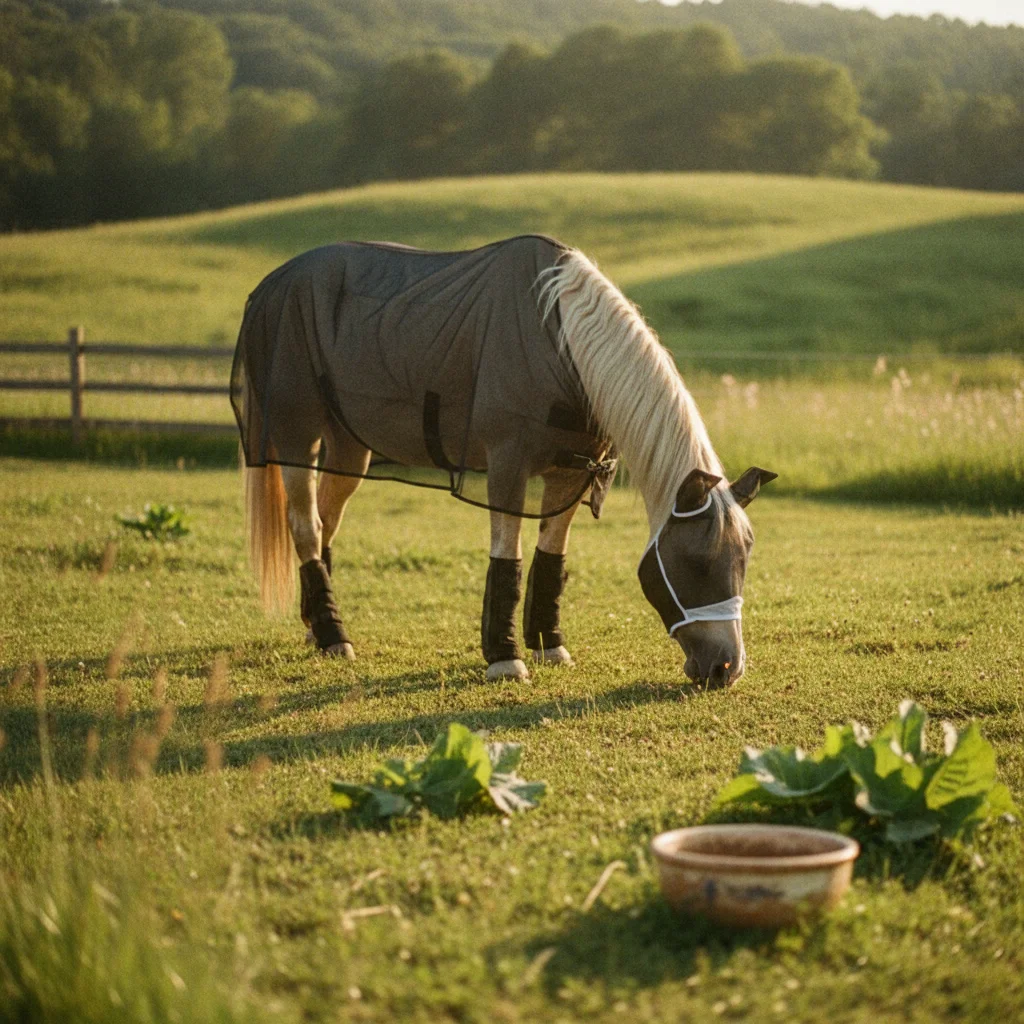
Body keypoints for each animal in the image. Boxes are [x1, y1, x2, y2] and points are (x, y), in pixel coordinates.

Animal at [231, 234, 775, 687]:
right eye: (697, 562)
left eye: (744, 559)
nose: (726, 667)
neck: (563, 344)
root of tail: (269, 287)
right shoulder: (507, 468)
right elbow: (506, 557)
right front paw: (504, 657)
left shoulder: (569, 474)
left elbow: (550, 556)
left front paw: (549, 646)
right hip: (296, 434)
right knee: (306, 526)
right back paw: (333, 636)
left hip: (350, 445)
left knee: (325, 522)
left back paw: (316, 628)